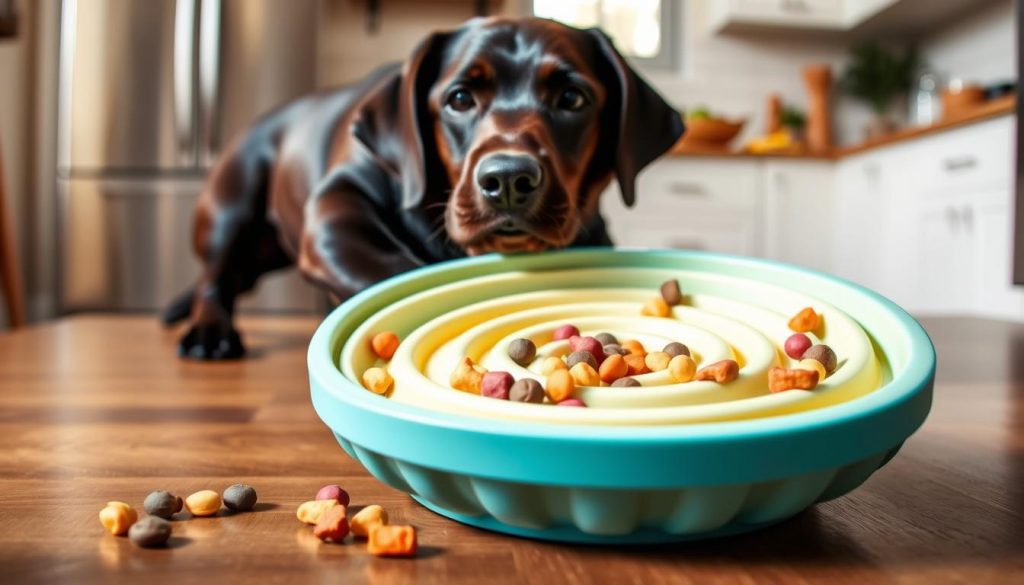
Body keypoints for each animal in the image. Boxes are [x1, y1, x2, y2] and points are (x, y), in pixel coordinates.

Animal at [163, 16, 684, 358]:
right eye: (460, 98)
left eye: (573, 98)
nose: (507, 179)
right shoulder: (336, 204)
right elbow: (395, 270)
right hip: (230, 209)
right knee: (215, 278)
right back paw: (209, 331)